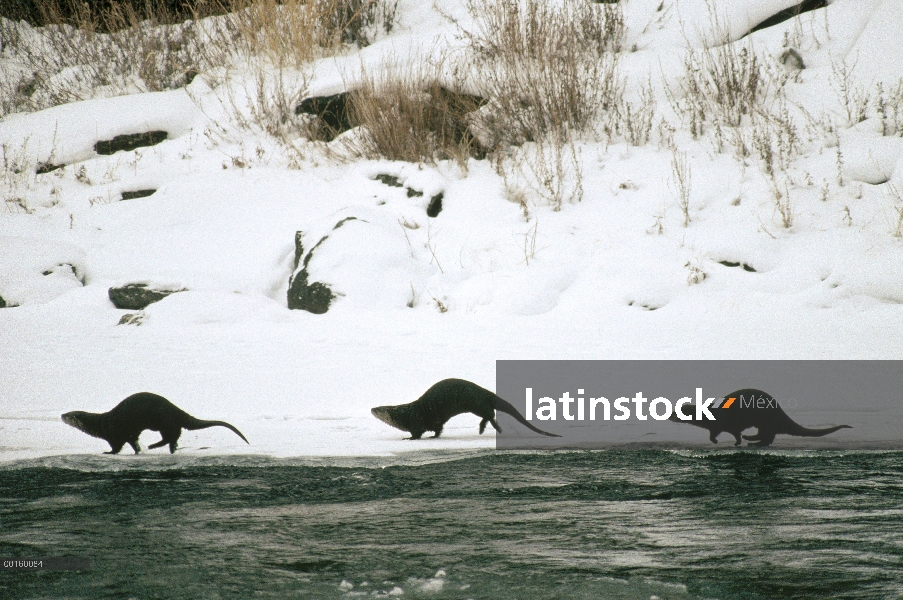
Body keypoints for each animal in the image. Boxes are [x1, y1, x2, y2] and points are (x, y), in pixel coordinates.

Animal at [61, 392, 249, 452]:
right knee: (175, 436)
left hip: (164, 421)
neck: (101, 424)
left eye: (70, 415)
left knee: (170, 435)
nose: (61, 414)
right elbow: (133, 442)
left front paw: (108, 453)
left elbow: (117, 447)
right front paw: (138, 450)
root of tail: (175, 409)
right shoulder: (130, 433)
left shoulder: (115, 434)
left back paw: (154, 446)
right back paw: (171, 449)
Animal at [372, 380, 556, 440]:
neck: (406, 415)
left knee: (490, 413)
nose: (371, 408)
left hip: (476, 403)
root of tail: (485, 391)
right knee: (489, 413)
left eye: (378, 409)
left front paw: (409, 439)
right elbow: (438, 428)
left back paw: (494, 428)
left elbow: (419, 433)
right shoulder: (434, 422)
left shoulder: (417, 422)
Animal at [672, 390, 856, 446]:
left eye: (675, 412)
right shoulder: (715, 426)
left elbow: (734, 433)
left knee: (768, 437)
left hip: (765, 420)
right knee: (767, 435)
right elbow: (713, 432)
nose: (670, 416)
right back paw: (752, 439)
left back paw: (752, 442)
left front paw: (736, 442)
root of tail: (780, 412)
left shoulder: (726, 424)